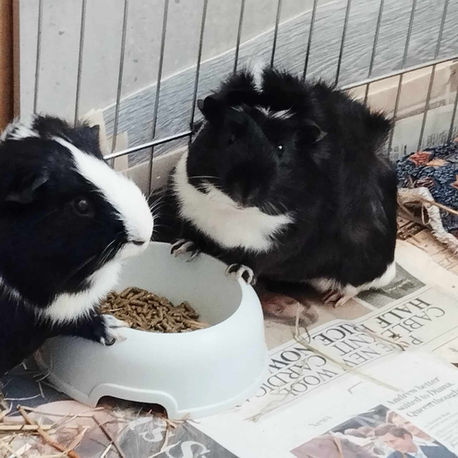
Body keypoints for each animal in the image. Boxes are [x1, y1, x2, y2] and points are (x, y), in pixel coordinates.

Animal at [156, 67, 397, 308]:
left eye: (281, 148)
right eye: (230, 138)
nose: (245, 192)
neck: (232, 213)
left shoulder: (278, 244)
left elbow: (255, 260)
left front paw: (238, 272)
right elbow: (194, 236)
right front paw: (180, 248)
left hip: (363, 265)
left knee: (361, 285)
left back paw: (334, 299)